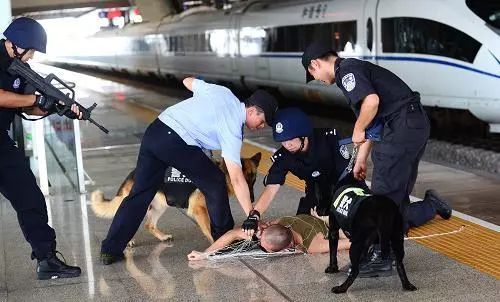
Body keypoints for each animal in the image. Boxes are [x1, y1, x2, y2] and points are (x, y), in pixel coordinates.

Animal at [91, 152, 262, 244]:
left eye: (254, 180)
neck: (222, 172)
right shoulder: (199, 210)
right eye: (245, 179)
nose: (252, 198)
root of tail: (132, 175)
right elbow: (208, 228)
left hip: (160, 206)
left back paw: (162, 237)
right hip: (139, 206)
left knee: (149, 225)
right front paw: (217, 244)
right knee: (123, 219)